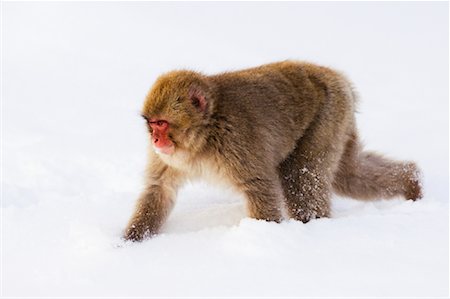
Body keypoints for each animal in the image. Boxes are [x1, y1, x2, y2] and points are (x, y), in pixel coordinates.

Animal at [123, 60, 422, 241]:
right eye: (151, 124)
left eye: (162, 124)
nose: (155, 140)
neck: (205, 133)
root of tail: (337, 77)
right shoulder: (167, 159)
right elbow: (159, 189)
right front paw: (129, 243)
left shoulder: (237, 141)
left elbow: (259, 187)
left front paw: (264, 236)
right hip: (341, 121)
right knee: (348, 175)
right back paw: (411, 180)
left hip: (329, 115)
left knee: (302, 178)